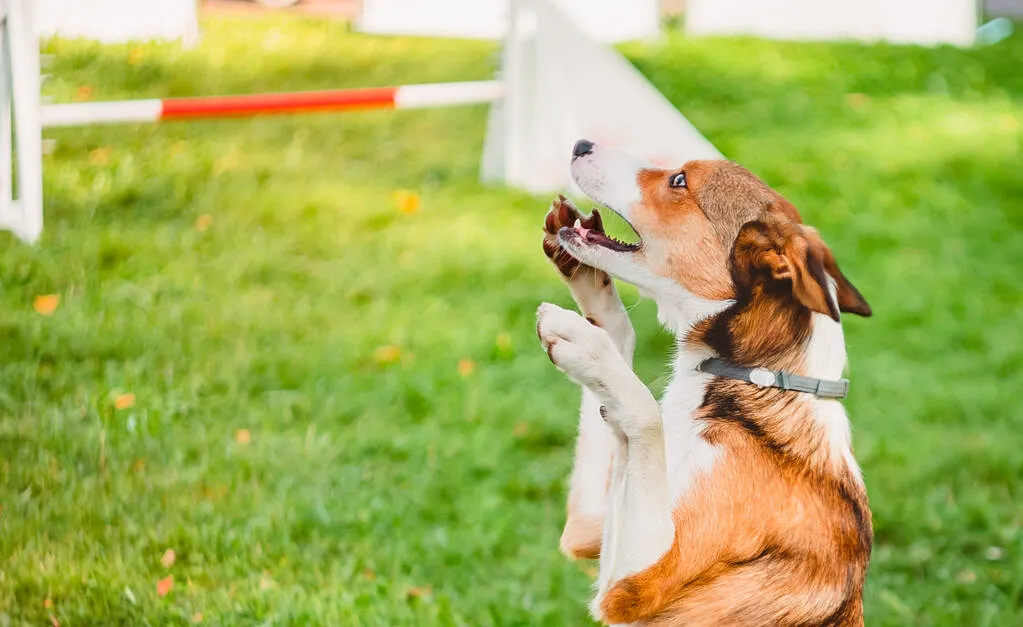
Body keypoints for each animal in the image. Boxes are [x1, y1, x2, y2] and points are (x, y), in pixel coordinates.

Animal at [536, 139, 871, 621]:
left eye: (679, 180)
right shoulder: (587, 529)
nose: (581, 143)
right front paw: (584, 284)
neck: (746, 381)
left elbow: (644, 412)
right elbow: (621, 346)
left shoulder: (634, 581)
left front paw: (583, 343)